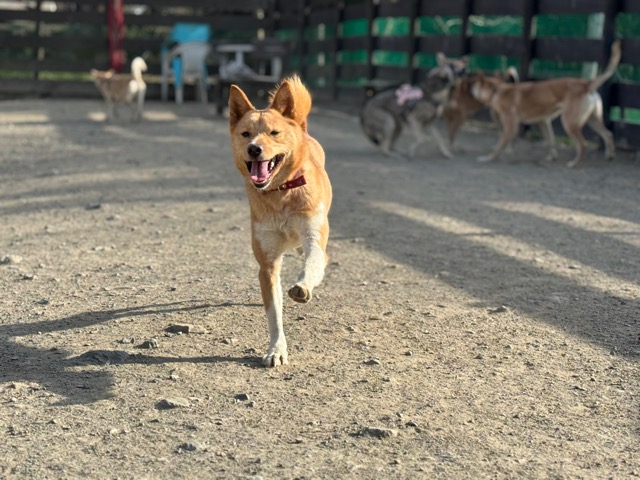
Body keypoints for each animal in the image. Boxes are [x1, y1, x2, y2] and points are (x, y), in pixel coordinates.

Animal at [228, 75, 332, 367]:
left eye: (274, 133)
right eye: (245, 134)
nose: (254, 149)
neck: (280, 192)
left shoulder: (313, 237)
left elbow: (313, 262)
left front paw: (303, 286)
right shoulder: (268, 264)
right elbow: (274, 313)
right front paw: (276, 349)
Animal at [471, 40, 621, 167]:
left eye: (476, 85)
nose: (471, 87)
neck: (497, 90)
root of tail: (586, 84)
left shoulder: (510, 126)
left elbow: (499, 145)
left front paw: (488, 158)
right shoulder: (543, 122)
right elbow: (551, 142)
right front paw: (551, 157)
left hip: (569, 123)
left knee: (583, 144)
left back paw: (574, 164)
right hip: (592, 120)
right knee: (608, 134)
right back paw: (610, 156)